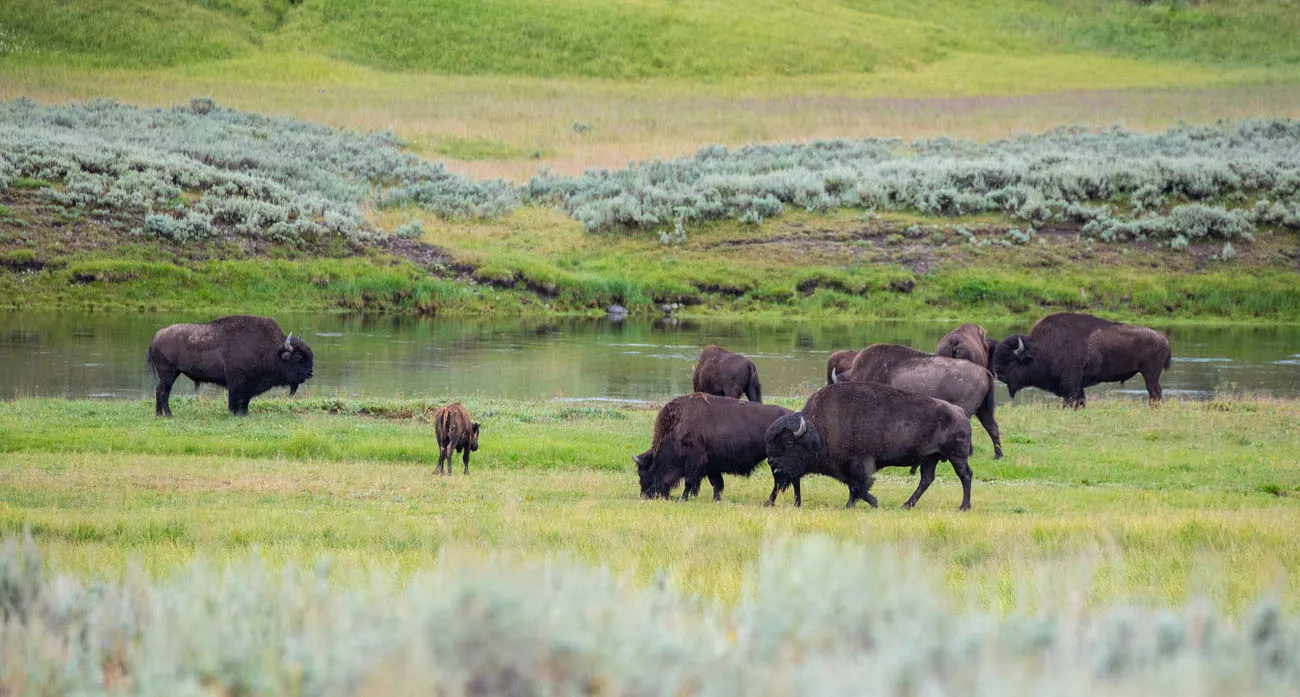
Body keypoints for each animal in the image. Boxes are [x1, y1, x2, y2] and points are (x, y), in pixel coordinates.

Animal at [147, 315, 313, 416]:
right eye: (298, 357)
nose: (310, 373)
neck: (271, 349)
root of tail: (156, 337)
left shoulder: (248, 386)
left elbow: (245, 401)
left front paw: (245, 413)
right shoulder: (237, 384)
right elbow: (236, 400)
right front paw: (236, 413)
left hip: (172, 373)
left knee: (159, 390)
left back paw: (160, 415)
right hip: (168, 373)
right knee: (163, 392)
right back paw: (168, 415)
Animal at [635, 393, 792, 501]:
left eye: (642, 473)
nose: (645, 495)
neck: (676, 428)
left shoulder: (694, 462)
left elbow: (689, 482)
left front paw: (683, 498)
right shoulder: (711, 465)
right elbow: (716, 484)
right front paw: (716, 499)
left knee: (779, 482)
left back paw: (769, 502)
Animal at [766, 382, 973, 510]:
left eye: (788, 442)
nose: (771, 462)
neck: (819, 429)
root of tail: (959, 411)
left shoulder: (860, 463)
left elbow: (860, 485)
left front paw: (867, 503)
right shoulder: (846, 468)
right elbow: (854, 486)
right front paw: (858, 504)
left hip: (956, 455)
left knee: (965, 476)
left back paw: (964, 507)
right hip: (930, 458)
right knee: (926, 479)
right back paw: (906, 505)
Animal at [991, 312, 1172, 408]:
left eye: (1011, 361)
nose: (999, 375)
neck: (1038, 349)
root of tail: (1163, 338)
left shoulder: (1070, 383)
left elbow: (1070, 400)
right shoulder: (1078, 386)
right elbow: (1080, 401)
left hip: (1150, 373)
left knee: (1154, 392)